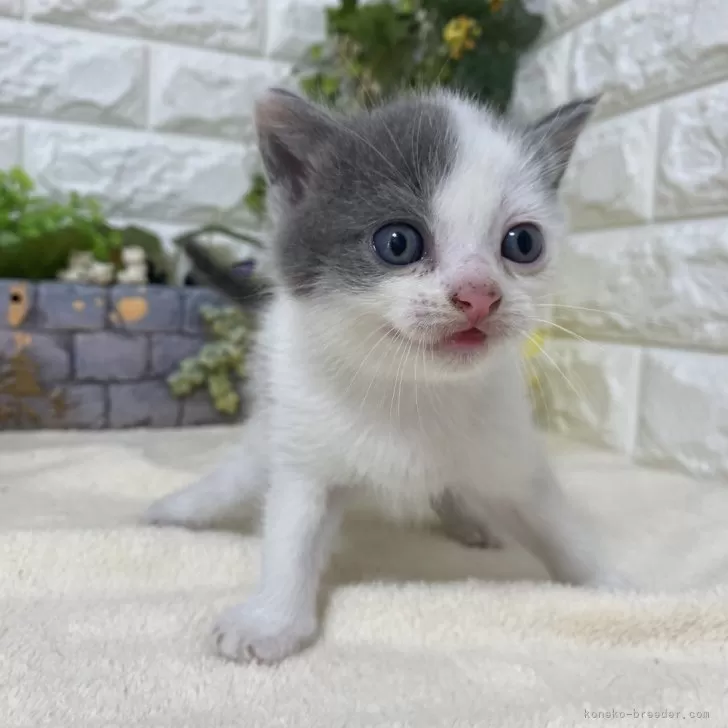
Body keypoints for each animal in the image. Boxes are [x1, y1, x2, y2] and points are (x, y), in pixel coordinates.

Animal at [144, 86, 624, 664]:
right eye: (397, 242)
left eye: (523, 243)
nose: (479, 293)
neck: (410, 390)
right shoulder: (307, 450)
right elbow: (292, 530)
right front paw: (270, 620)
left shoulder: (509, 448)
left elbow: (554, 523)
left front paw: (617, 589)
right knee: (247, 466)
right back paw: (188, 506)